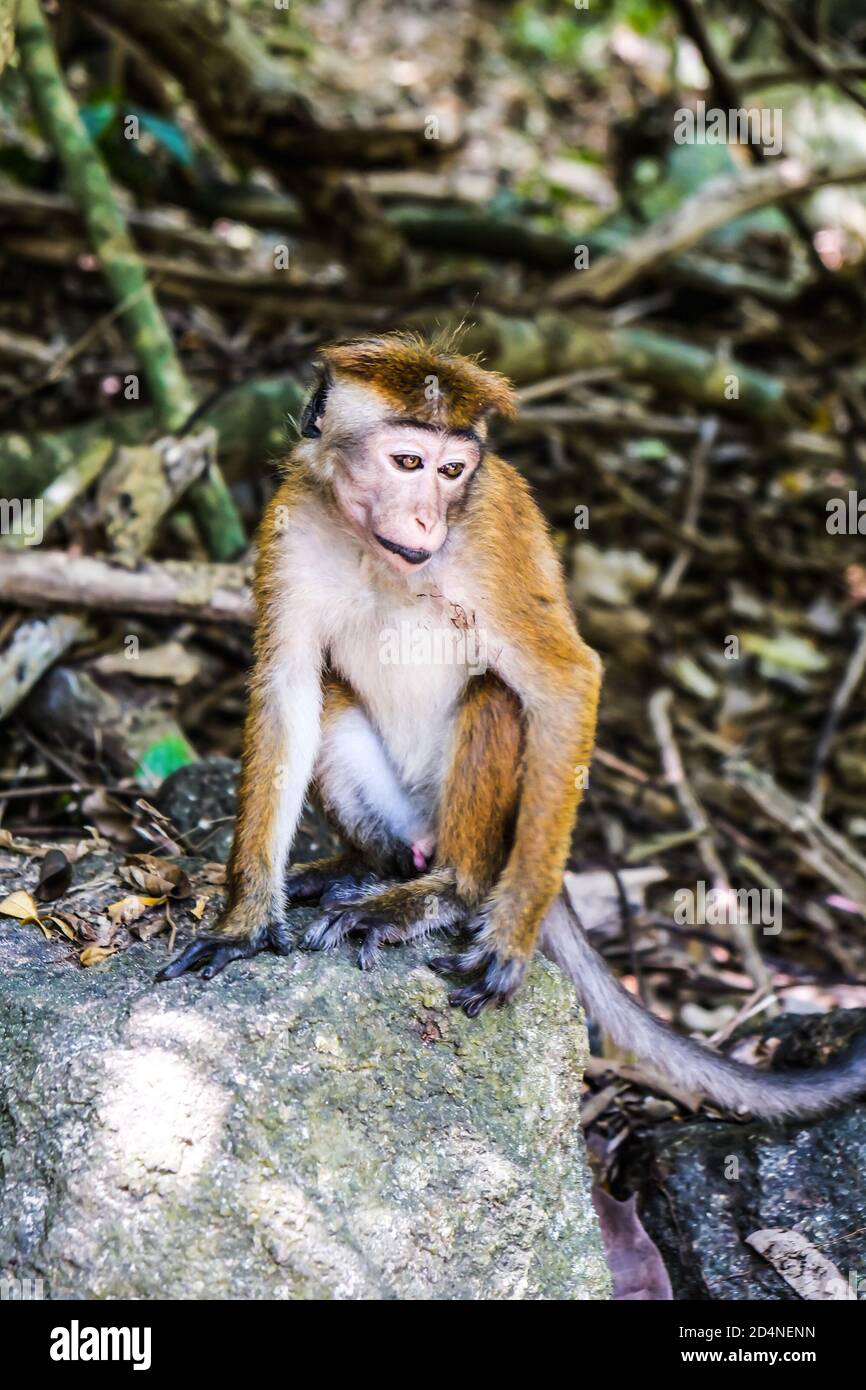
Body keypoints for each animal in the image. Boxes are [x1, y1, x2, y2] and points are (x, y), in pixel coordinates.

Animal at [159, 331, 866, 1121]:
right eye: (408, 462)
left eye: (452, 471)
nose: (429, 519)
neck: (378, 555)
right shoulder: (289, 525)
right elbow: (286, 687)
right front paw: (245, 921)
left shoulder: (491, 537)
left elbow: (566, 680)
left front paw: (509, 938)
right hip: (404, 816)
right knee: (336, 705)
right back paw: (365, 869)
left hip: (494, 828)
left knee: (494, 695)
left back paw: (445, 894)